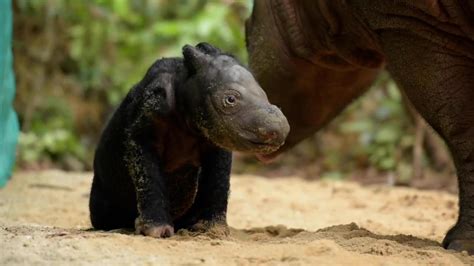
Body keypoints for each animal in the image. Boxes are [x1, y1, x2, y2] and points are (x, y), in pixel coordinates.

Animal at [89, 43, 288, 237]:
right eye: (230, 100)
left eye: (264, 93)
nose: (279, 130)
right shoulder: (143, 129)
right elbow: (147, 174)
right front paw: (156, 231)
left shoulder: (217, 138)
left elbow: (219, 179)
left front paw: (213, 230)